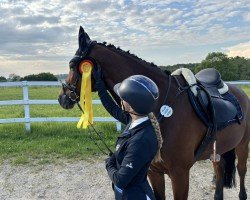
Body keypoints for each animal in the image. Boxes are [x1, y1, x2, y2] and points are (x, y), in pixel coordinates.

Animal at [57, 27, 249, 200]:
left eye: (72, 65)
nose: (62, 98)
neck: (163, 104)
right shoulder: (154, 171)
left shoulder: (180, 174)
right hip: (217, 151)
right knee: (220, 170)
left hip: (242, 145)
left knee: (241, 171)